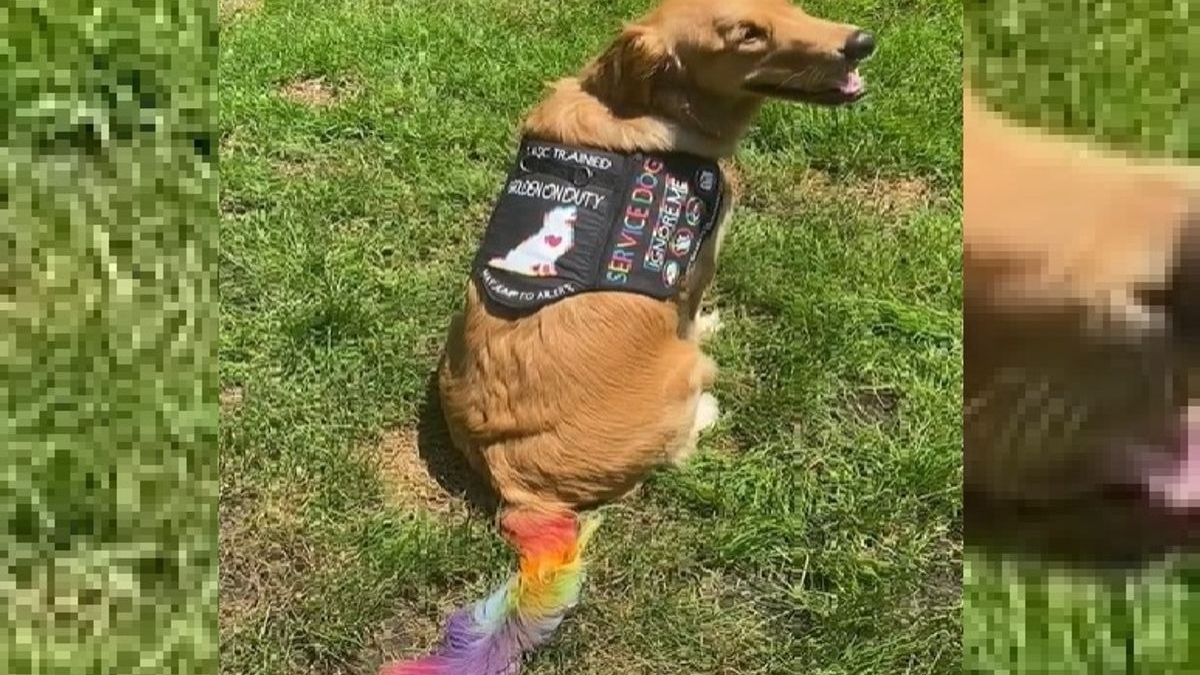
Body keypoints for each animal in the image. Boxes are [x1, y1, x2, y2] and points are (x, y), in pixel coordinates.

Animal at [441, 0, 873, 516]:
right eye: (748, 34)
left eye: (788, 6)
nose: (863, 43)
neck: (649, 106)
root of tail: (512, 481)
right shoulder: (700, 257)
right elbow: (692, 315)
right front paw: (707, 325)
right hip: (686, 367)